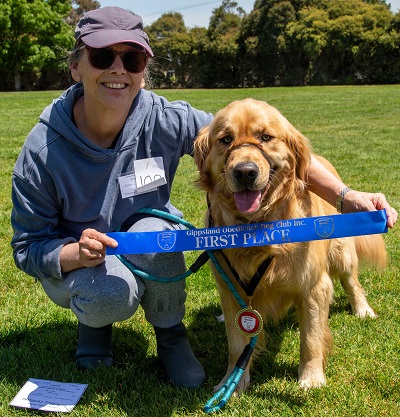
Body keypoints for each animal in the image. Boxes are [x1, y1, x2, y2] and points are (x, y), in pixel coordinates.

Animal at [194, 99, 388, 392]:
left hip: (342, 255)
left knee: (352, 282)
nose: (245, 172)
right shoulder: (230, 290)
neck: (257, 228)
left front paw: (311, 377)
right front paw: (232, 384)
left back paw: (362, 309)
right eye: (225, 139)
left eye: (266, 137)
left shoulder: (314, 286)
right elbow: (237, 345)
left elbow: (311, 339)